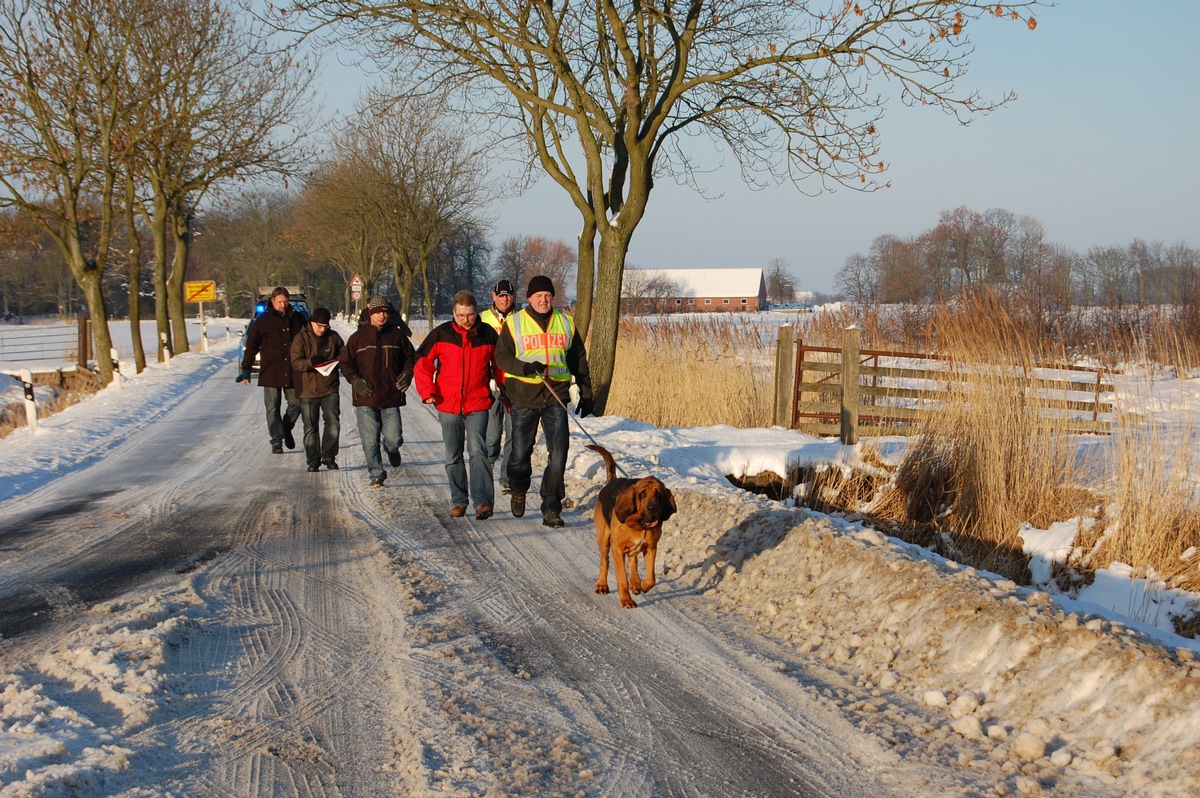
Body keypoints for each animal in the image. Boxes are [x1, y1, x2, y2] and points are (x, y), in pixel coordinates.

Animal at [588, 444, 676, 607]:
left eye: (658, 494)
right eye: (642, 494)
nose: (652, 508)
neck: (640, 525)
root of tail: (611, 482)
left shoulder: (651, 548)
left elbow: (651, 578)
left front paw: (642, 585)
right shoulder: (617, 549)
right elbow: (622, 577)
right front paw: (626, 600)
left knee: (633, 560)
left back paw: (635, 583)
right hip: (604, 540)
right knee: (605, 561)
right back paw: (602, 585)